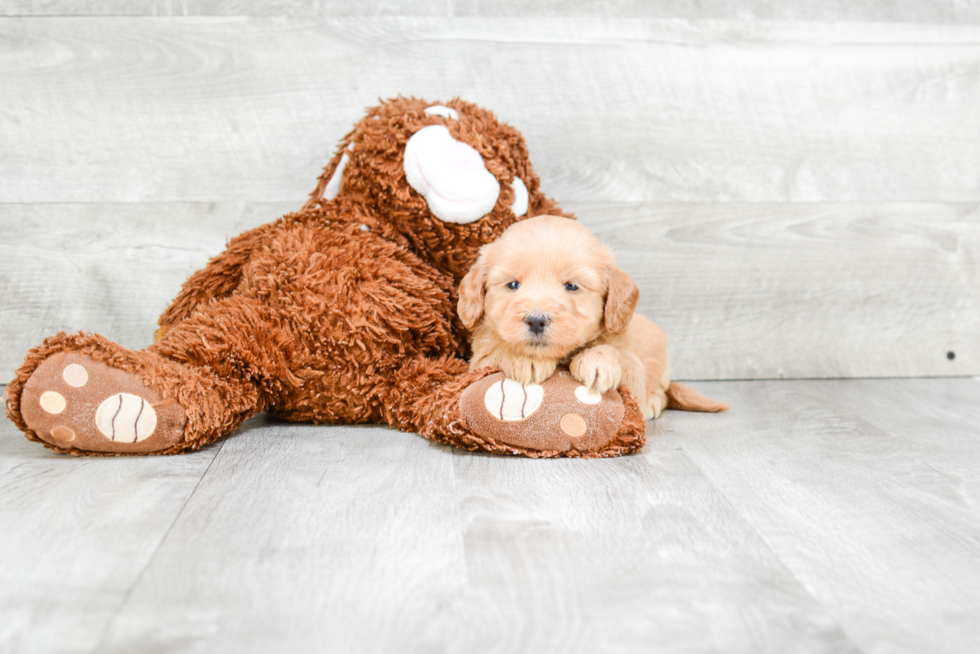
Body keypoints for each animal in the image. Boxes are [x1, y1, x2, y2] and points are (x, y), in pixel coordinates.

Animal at [456, 215, 724, 420]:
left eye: (572, 286)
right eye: (512, 284)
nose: (536, 320)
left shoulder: (632, 372)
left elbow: (621, 360)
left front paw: (598, 359)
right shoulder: (478, 361)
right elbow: (497, 351)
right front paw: (523, 357)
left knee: (662, 392)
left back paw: (653, 404)